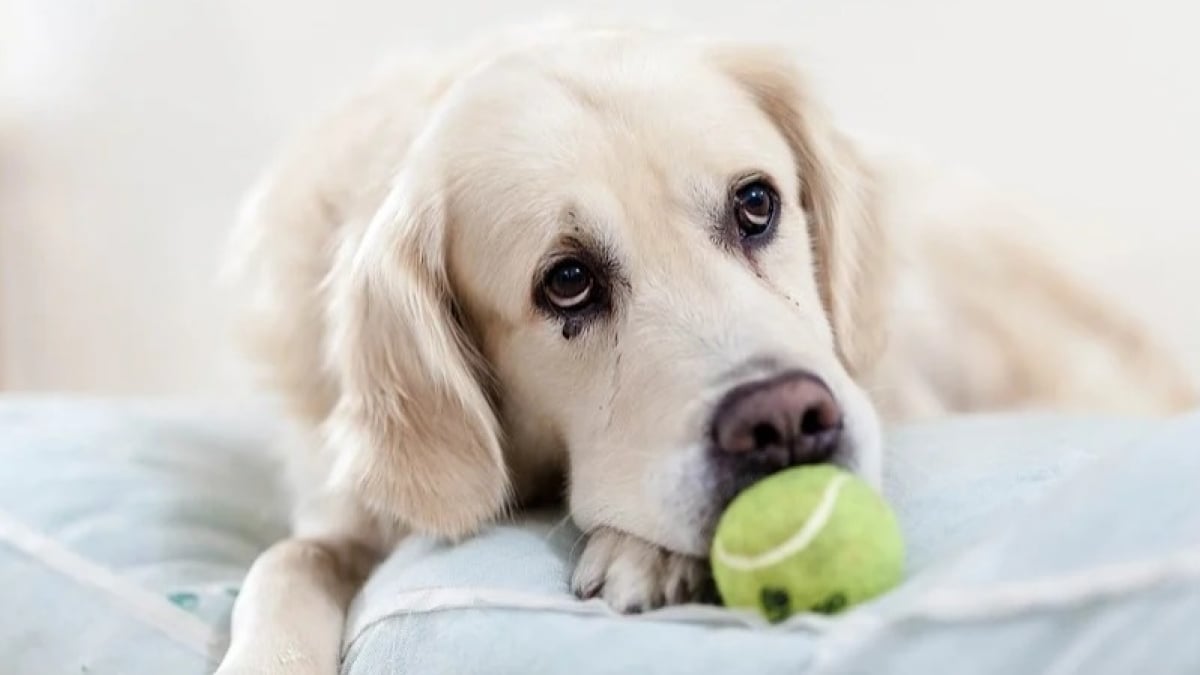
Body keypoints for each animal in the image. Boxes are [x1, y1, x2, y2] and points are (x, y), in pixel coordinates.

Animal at [213, 22, 1190, 672]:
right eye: (567, 281)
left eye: (756, 203)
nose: (785, 422)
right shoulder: (346, 509)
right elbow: (285, 561)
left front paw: (651, 550)